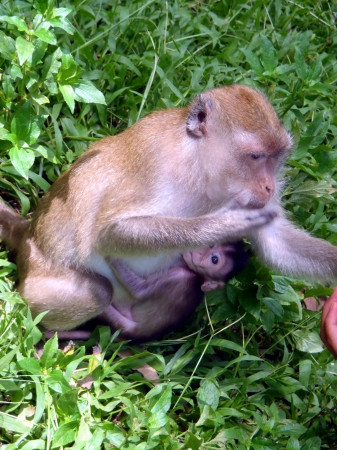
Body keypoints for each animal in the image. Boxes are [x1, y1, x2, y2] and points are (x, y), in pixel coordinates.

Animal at [5, 85, 337, 334]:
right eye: (256, 157)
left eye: (277, 157)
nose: (270, 187)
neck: (199, 171)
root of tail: (27, 232)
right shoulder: (155, 163)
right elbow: (107, 233)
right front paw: (223, 224)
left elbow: (275, 244)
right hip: (39, 280)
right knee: (97, 293)